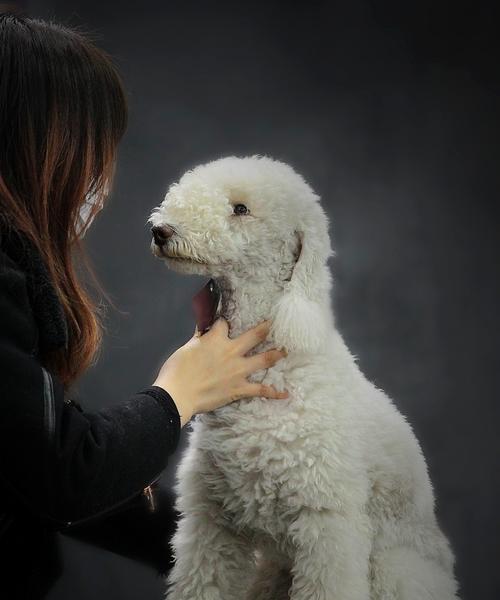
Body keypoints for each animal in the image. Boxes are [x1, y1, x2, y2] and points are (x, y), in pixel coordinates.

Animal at [149, 156, 460, 600]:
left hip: (393, 569)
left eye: (241, 209)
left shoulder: (326, 522)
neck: (271, 369)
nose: (161, 230)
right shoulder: (212, 520)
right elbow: (203, 581)